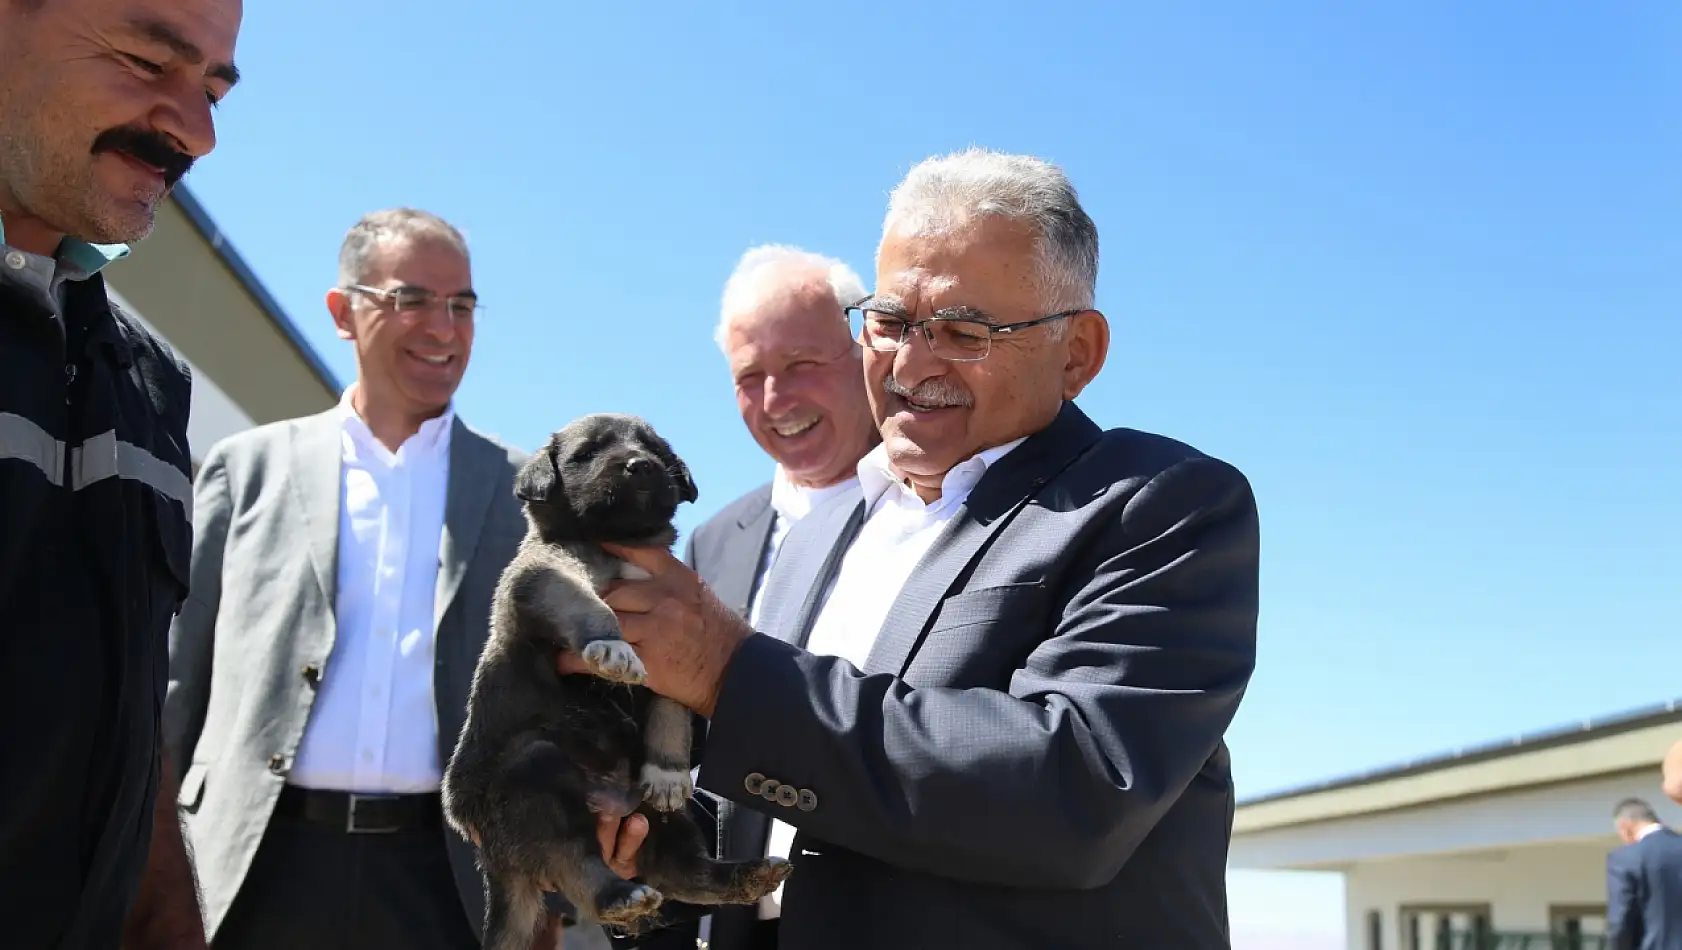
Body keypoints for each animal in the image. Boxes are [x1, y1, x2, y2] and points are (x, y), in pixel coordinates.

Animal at [444, 413, 790, 948]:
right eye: (587, 453)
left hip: (660, 819)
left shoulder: (672, 646)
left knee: (684, 871)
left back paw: (744, 875)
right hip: (534, 778)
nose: (641, 466)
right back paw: (618, 895)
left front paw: (668, 770)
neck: (620, 543)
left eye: (656, 450)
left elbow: (670, 706)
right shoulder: (546, 575)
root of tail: (497, 861)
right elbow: (589, 605)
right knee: (576, 858)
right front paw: (613, 646)